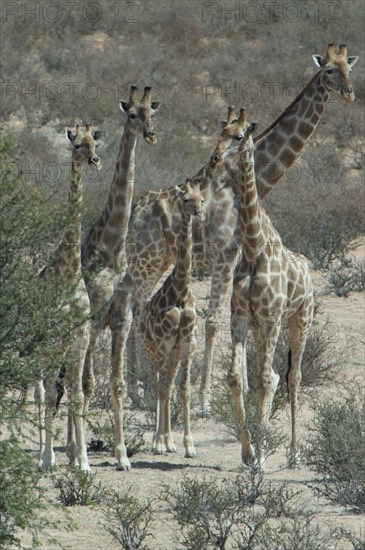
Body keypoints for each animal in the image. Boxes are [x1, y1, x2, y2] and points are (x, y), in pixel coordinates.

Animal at [218, 108, 312, 470]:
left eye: (239, 135)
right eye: (220, 131)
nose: (215, 158)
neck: (254, 247)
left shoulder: (272, 318)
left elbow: (264, 381)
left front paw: (259, 455)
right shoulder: (241, 316)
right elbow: (237, 378)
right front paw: (249, 453)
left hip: (300, 320)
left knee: (292, 377)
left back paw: (294, 454)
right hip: (262, 328)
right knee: (273, 373)